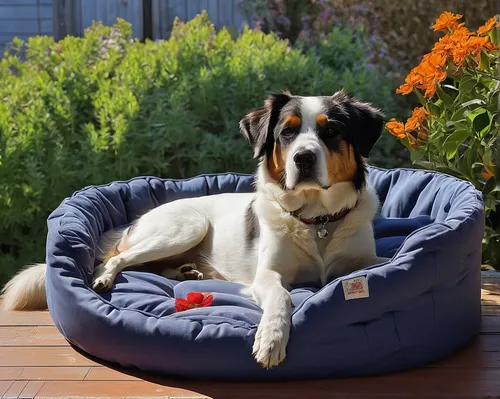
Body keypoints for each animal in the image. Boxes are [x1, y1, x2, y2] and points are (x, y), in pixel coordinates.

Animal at [0, 89, 386, 370]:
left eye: (330, 131)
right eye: (287, 132)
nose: (302, 158)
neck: (318, 223)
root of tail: (136, 221)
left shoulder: (363, 259)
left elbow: (375, 264)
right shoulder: (268, 275)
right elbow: (280, 298)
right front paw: (271, 339)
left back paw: (189, 271)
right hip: (185, 227)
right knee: (116, 259)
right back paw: (107, 277)